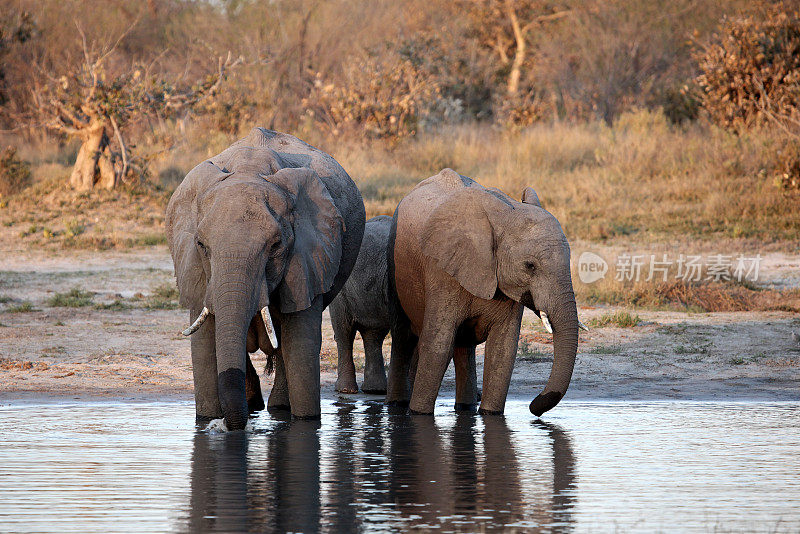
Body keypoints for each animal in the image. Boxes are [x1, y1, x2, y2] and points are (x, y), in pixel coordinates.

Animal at [166, 126, 366, 432]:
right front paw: (208, 421)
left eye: (275, 246)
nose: (232, 426)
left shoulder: (307, 260)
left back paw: (275, 408)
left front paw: (305, 423)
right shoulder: (196, 269)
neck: (249, 168)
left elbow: (301, 343)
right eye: (201, 245)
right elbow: (203, 345)